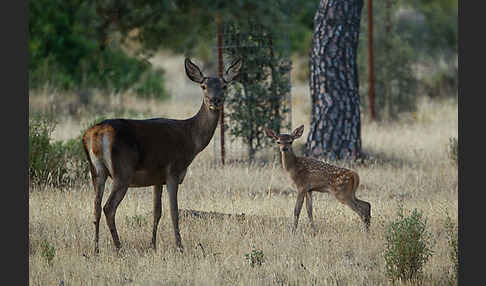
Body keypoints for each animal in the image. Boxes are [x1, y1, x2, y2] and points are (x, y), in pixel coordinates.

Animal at [84, 57, 243, 252]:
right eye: (203, 86)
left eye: (225, 86)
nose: (215, 100)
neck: (191, 138)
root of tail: (95, 134)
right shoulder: (173, 171)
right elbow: (174, 212)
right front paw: (180, 247)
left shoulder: (157, 178)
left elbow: (157, 212)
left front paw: (152, 245)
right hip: (122, 172)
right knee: (108, 207)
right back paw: (119, 247)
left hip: (96, 171)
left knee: (96, 207)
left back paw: (96, 249)